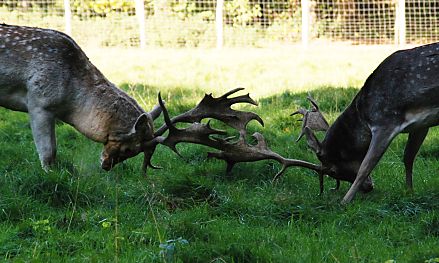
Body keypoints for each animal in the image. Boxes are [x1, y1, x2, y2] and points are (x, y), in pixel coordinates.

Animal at [288, 42, 439, 204]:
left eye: (332, 170)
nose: (368, 188)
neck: (363, 112)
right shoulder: (420, 125)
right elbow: (408, 156)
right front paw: (409, 192)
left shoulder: (384, 121)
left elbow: (365, 166)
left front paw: (345, 201)